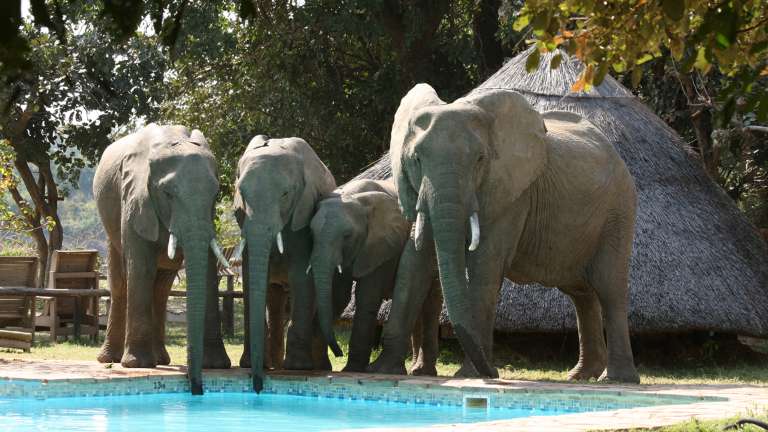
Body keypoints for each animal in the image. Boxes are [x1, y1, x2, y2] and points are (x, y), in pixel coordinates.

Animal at [94, 123, 231, 395]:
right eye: (167, 194)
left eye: (216, 194)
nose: (196, 386)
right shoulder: (134, 197)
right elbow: (140, 267)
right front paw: (136, 365)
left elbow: (208, 270)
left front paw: (216, 365)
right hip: (110, 225)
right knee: (121, 282)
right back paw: (111, 359)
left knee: (161, 289)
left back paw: (161, 360)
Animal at [233, 134, 337, 392]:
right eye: (241, 193)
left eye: (285, 194)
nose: (258, 385)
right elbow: (250, 278)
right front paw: (250, 364)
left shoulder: (303, 213)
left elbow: (301, 275)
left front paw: (298, 367)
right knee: (274, 298)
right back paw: (275, 363)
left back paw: (313, 366)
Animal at [309, 178, 443, 374]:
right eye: (311, 233)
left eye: (347, 235)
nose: (338, 353)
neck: (354, 197)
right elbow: (340, 294)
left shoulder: (383, 246)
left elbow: (367, 297)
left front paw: (352, 370)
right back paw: (414, 369)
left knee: (430, 306)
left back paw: (422, 372)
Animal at [371, 84, 640, 383]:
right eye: (416, 159)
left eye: (480, 160)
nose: (497, 371)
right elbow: (413, 264)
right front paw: (382, 370)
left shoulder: (513, 194)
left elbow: (485, 267)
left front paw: (472, 375)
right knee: (580, 291)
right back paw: (580, 376)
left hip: (618, 208)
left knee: (608, 286)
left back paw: (617, 379)